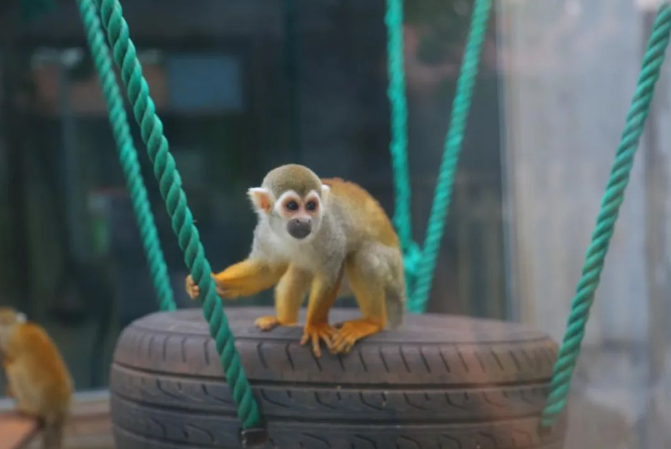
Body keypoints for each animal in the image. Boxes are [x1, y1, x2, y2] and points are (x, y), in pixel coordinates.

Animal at [0, 306, 73, 446]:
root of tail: (57, 409)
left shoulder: (8, 340)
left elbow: (11, 359)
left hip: (37, 400)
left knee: (16, 368)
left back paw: (27, 407)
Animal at [185, 163, 404, 356]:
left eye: (311, 206)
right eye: (292, 206)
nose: (304, 220)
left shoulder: (329, 228)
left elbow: (330, 270)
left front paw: (316, 325)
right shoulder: (265, 230)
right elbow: (268, 268)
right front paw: (215, 283)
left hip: (391, 273)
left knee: (362, 256)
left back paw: (372, 322)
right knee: (296, 272)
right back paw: (284, 321)